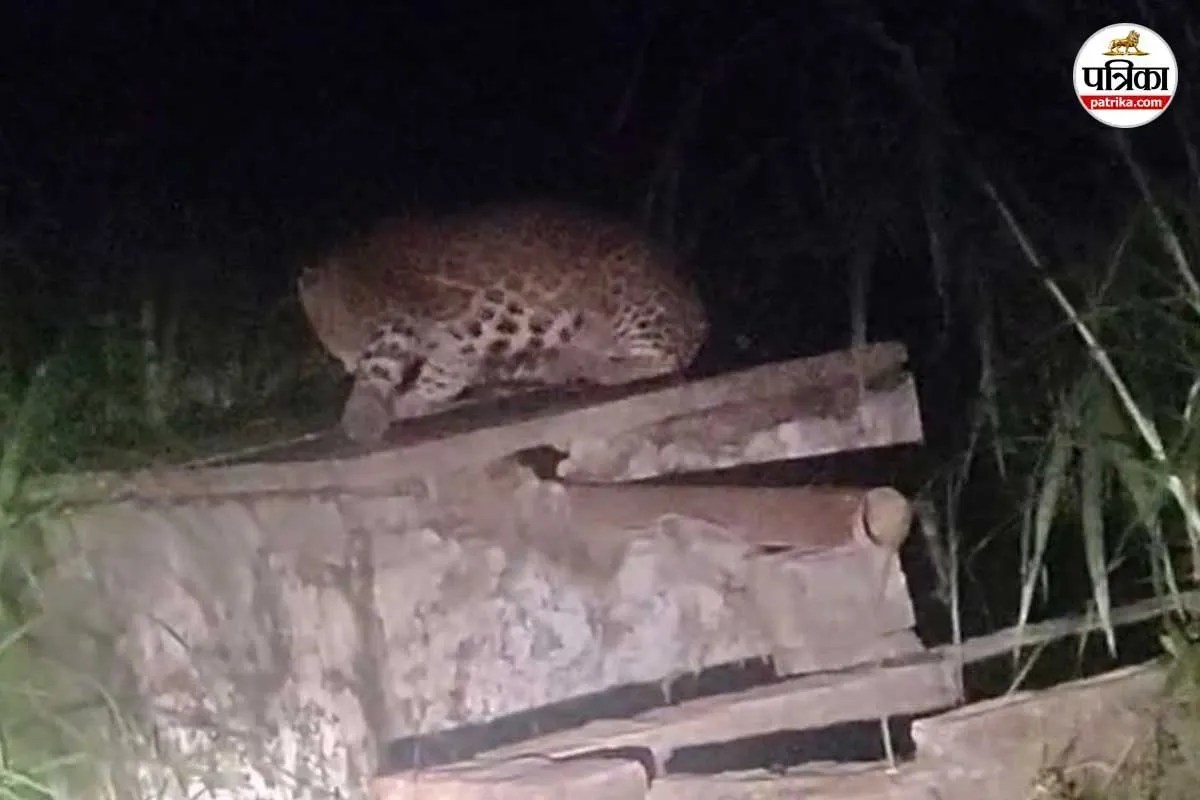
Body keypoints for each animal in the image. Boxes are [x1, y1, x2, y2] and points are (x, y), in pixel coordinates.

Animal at [297, 201, 709, 444]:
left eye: (332, 337)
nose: (346, 366)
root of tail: (700, 318)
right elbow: (446, 369)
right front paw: (411, 400)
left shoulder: (434, 311)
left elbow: (398, 359)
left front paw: (367, 410)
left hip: (627, 300)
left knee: (661, 359)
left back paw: (588, 366)